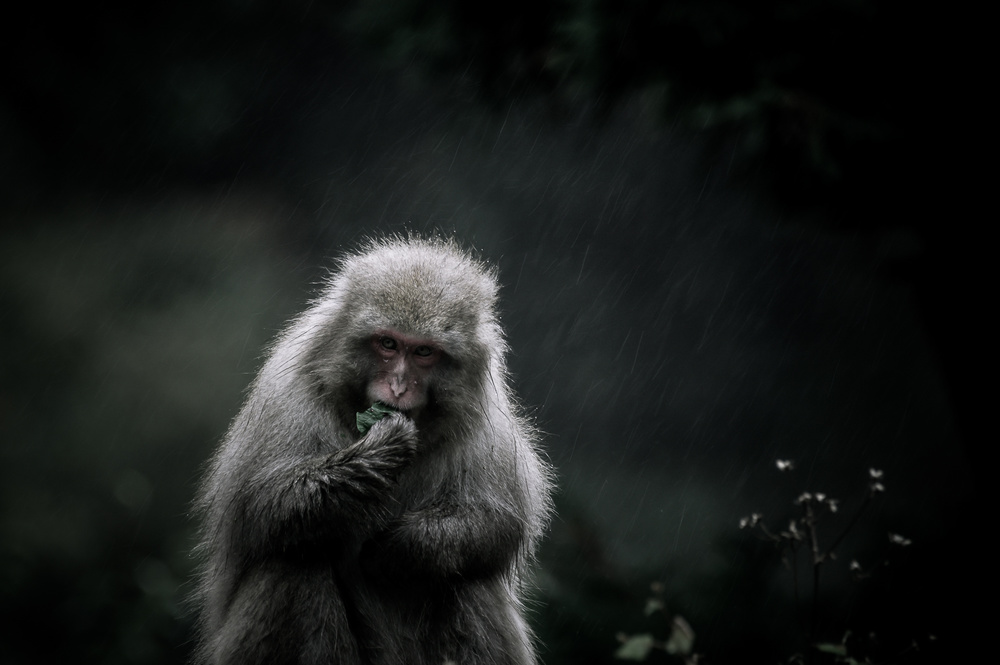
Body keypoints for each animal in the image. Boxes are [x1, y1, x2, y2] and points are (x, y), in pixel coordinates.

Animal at [188, 236, 556, 660]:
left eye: (423, 352)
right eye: (388, 344)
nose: (397, 387)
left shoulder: (485, 420)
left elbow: (500, 523)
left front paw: (405, 546)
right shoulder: (289, 396)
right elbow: (255, 505)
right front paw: (375, 455)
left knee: (469, 576)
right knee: (292, 560)